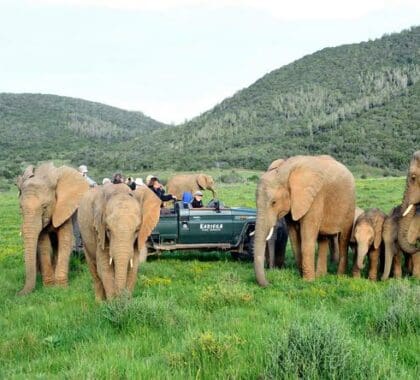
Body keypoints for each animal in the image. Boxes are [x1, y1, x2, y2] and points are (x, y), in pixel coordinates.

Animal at [16, 162, 89, 296]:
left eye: (44, 207)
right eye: (20, 208)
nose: (18, 294)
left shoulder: (65, 207)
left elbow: (65, 240)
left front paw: (60, 288)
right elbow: (43, 243)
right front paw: (49, 287)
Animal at [254, 155, 356, 284]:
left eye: (274, 202)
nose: (270, 283)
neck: (284, 170)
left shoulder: (315, 197)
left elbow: (307, 236)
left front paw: (308, 282)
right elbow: (294, 239)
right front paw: (302, 277)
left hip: (349, 204)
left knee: (343, 239)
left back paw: (340, 277)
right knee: (322, 238)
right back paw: (321, 276)